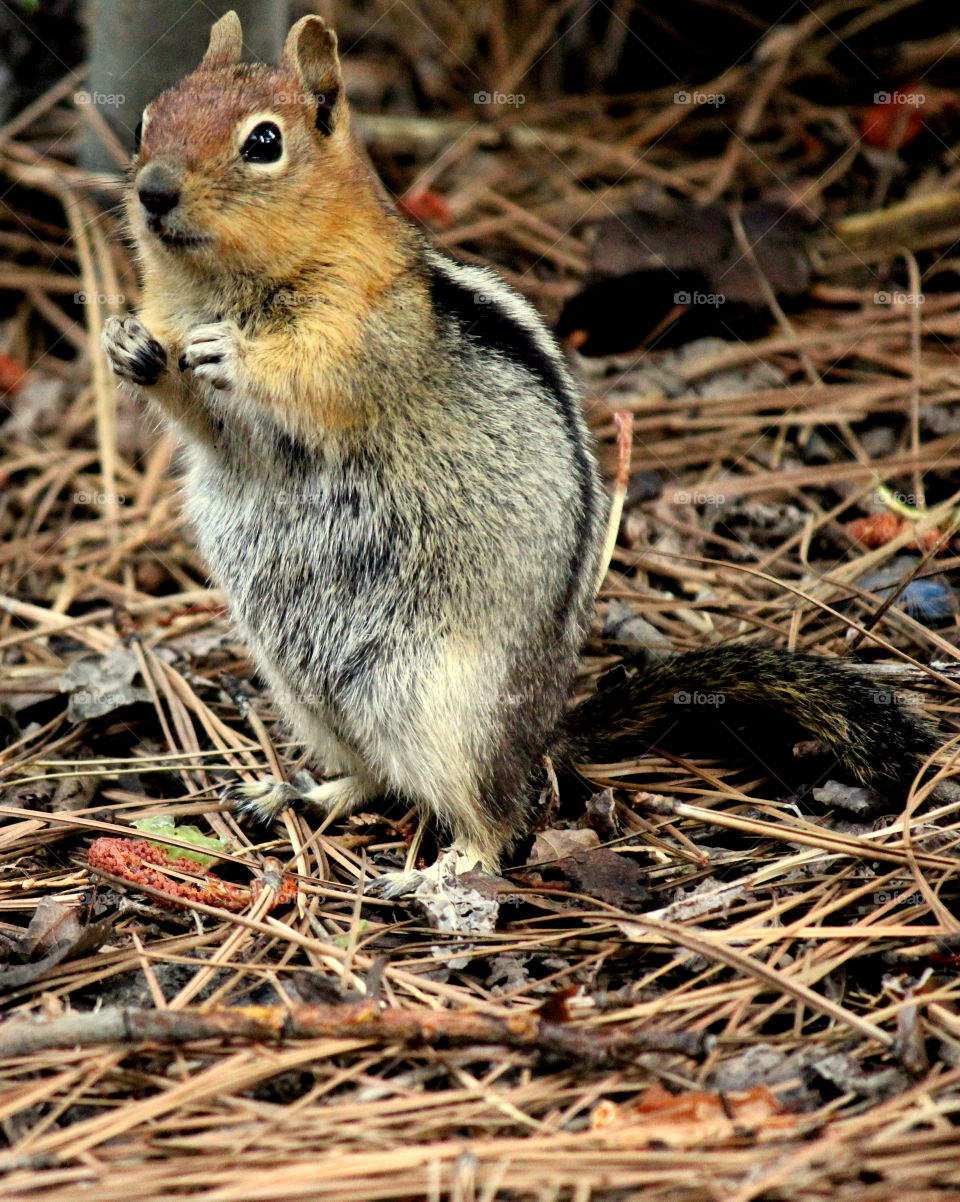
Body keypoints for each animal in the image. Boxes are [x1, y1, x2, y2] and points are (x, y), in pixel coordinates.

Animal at [103, 12, 941, 891]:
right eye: (145, 119)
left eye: (264, 142)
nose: (152, 191)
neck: (218, 287)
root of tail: (542, 731)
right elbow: (205, 423)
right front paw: (129, 344)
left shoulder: (363, 334)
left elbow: (314, 379)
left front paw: (231, 353)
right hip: (309, 694)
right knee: (375, 776)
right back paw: (301, 794)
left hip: (448, 714)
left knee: (496, 822)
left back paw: (432, 874)